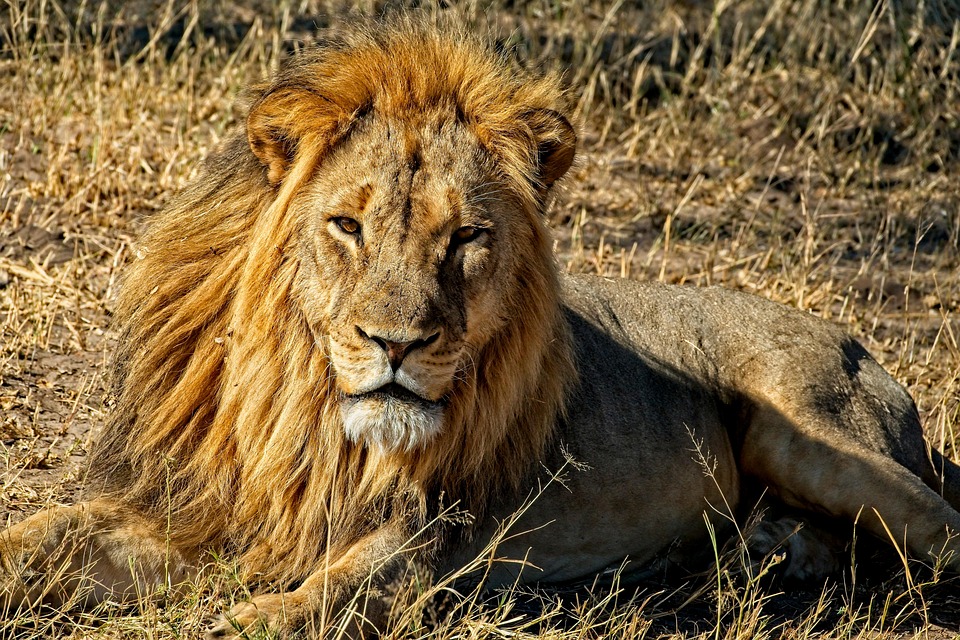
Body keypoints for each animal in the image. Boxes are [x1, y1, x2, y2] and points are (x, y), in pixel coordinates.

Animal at [3, 21, 960, 639]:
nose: (396, 347)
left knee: (942, 528)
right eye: (346, 226)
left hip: (808, 432)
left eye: (465, 237)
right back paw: (769, 553)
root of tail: (860, 344)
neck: (306, 412)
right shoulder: (204, 507)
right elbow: (51, 533)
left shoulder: (439, 530)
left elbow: (339, 590)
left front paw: (251, 613)